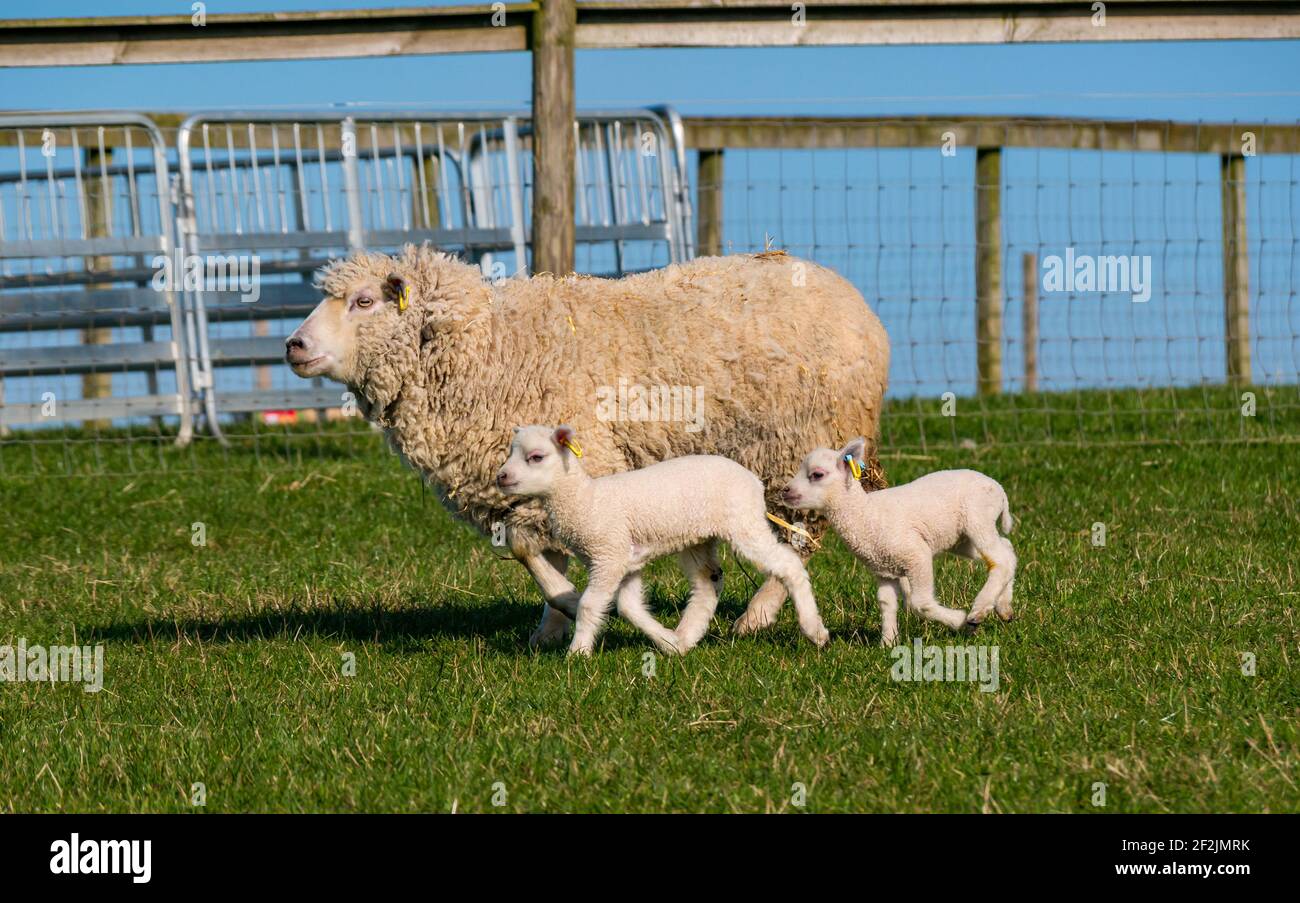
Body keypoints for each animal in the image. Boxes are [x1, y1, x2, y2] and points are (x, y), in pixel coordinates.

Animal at [495, 425, 830, 655]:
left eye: (536, 457)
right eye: (509, 454)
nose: (501, 476)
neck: (585, 499)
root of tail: (752, 480)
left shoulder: (608, 556)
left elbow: (590, 605)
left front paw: (577, 654)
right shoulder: (625, 561)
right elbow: (628, 607)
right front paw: (667, 643)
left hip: (743, 523)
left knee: (789, 565)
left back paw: (814, 631)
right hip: (698, 538)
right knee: (708, 583)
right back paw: (686, 637)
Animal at [782, 438, 1017, 646]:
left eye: (817, 474)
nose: (785, 491)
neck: (866, 515)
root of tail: (999, 489)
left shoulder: (916, 555)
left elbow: (920, 603)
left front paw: (960, 621)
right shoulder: (883, 569)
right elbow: (886, 604)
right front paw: (888, 643)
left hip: (977, 517)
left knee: (1001, 559)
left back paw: (978, 612)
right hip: (961, 539)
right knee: (1006, 550)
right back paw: (1004, 608)